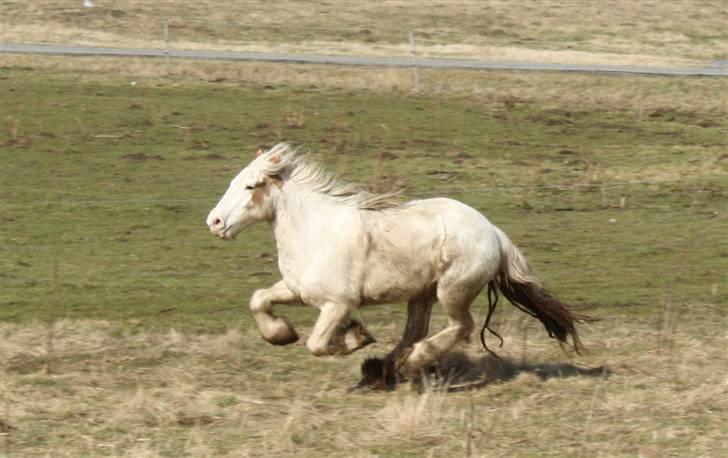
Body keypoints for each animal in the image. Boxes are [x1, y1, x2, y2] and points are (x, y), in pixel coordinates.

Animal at [206, 144, 592, 386]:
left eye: (250, 186)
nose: (215, 222)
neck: (315, 230)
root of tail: (494, 232)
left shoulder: (337, 303)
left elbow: (317, 343)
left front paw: (355, 337)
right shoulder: (297, 289)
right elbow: (259, 299)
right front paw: (282, 334)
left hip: (452, 291)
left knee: (459, 327)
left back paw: (412, 362)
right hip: (421, 294)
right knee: (416, 331)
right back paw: (385, 369)